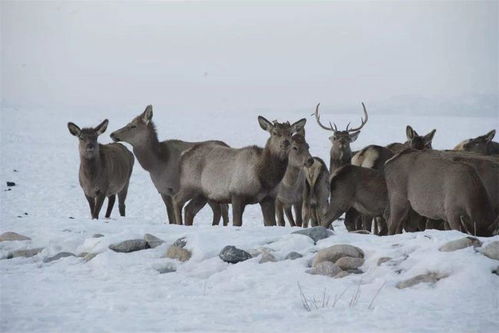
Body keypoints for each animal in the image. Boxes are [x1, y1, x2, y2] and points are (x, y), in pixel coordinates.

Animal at [173, 115, 308, 227]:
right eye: (275, 133)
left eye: (290, 133)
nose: (286, 142)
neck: (264, 177)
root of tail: (183, 155)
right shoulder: (237, 193)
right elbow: (237, 222)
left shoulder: (268, 198)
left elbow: (271, 223)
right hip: (189, 185)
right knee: (177, 200)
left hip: (203, 194)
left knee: (189, 210)